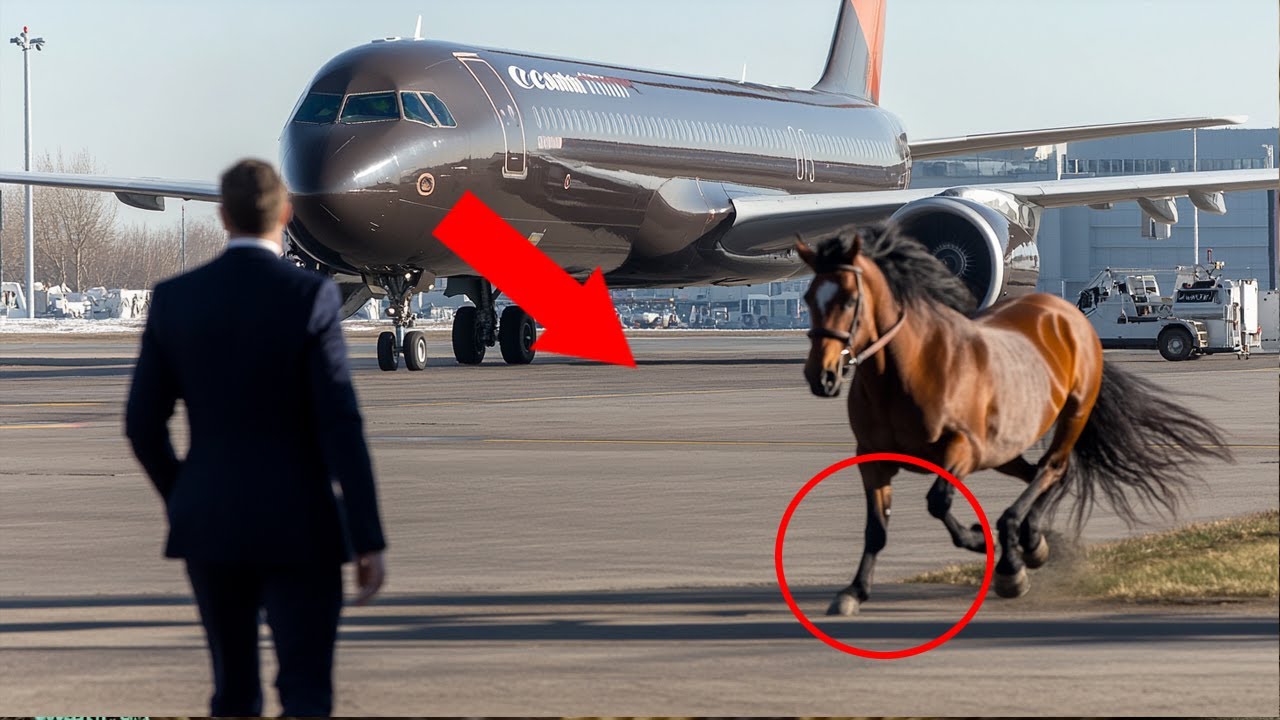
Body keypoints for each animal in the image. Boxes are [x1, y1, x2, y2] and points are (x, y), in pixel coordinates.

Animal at [795, 224, 1231, 615]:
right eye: (808, 296)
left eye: (850, 300)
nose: (822, 375)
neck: (906, 373)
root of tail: (1063, 312)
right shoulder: (873, 458)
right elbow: (876, 528)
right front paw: (854, 591)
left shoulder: (963, 448)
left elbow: (939, 502)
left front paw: (985, 542)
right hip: (1005, 447)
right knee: (1039, 474)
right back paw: (1033, 540)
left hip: (1070, 414)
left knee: (1053, 469)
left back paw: (1020, 548)